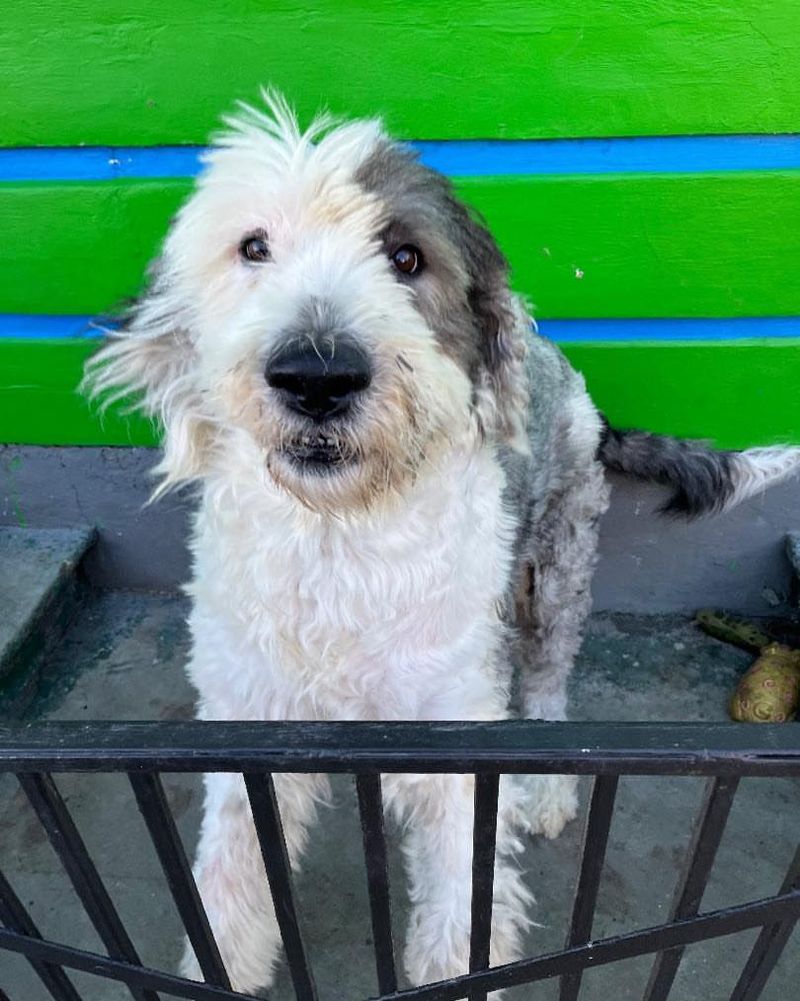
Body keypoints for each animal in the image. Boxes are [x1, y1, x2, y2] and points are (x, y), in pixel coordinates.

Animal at [86, 94, 800, 992]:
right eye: (253, 246)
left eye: (405, 256)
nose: (317, 374)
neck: (340, 540)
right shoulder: (250, 720)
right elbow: (228, 881)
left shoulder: (453, 735)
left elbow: (465, 910)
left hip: (556, 568)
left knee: (549, 680)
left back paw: (546, 791)